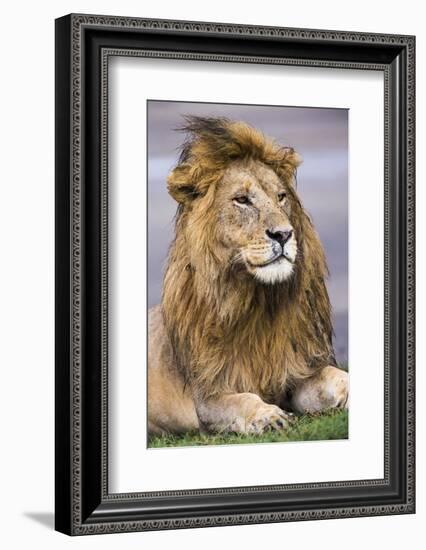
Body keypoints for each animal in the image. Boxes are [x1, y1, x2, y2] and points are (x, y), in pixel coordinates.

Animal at [148, 116, 348, 436]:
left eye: (281, 197)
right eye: (242, 200)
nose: (284, 234)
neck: (258, 302)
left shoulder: (295, 373)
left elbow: (334, 375)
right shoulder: (208, 397)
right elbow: (242, 400)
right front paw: (268, 416)